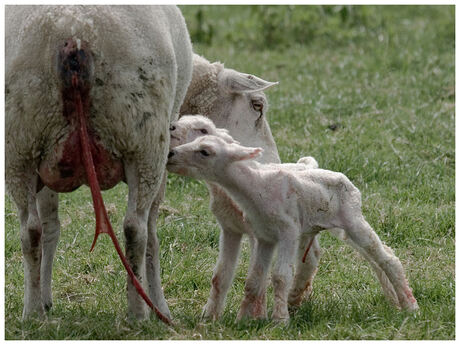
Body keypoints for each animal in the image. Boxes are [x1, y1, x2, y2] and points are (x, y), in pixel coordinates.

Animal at [5, 4, 192, 320]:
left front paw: (45, 298)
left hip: (20, 142)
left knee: (30, 231)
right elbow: (153, 236)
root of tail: (75, 32)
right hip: (145, 142)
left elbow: (50, 226)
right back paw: (138, 313)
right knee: (136, 230)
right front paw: (160, 307)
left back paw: (32, 313)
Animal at [167, 134, 418, 320]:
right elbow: (254, 279)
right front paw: (243, 321)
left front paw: (280, 320)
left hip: (352, 218)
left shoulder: (288, 231)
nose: (170, 154)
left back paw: (410, 306)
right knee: (377, 256)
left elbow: (280, 276)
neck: (255, 187)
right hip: (340, 227)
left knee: (387, 259)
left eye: (205, 151)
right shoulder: (265, 236)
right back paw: (395, 300)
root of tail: (345, 178)